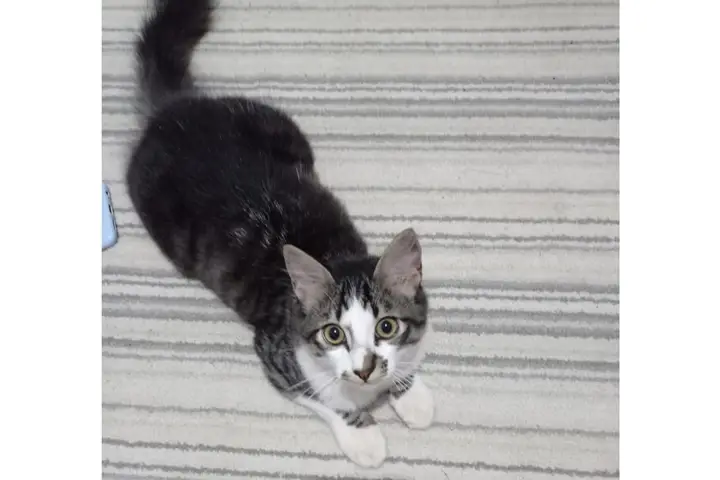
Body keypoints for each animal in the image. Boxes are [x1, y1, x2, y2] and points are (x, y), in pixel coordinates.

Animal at [126, 0, 434, 468]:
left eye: (386, 327)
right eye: (333, 334)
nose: (364, 369)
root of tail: (175, 110)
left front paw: (410, 392)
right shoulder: (275, 355)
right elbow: (325, 398)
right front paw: (363, 435)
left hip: (278, 123)